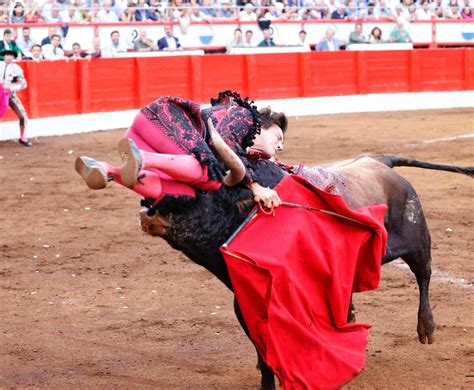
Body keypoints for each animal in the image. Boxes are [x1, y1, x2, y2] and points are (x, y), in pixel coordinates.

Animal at [139, 152, 472, 390]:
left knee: (424, 274)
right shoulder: (246, 302)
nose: (148, 210)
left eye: (203, 191)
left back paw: (426, 327)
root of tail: (380, 161)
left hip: (417, 236)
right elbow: (264, 348)